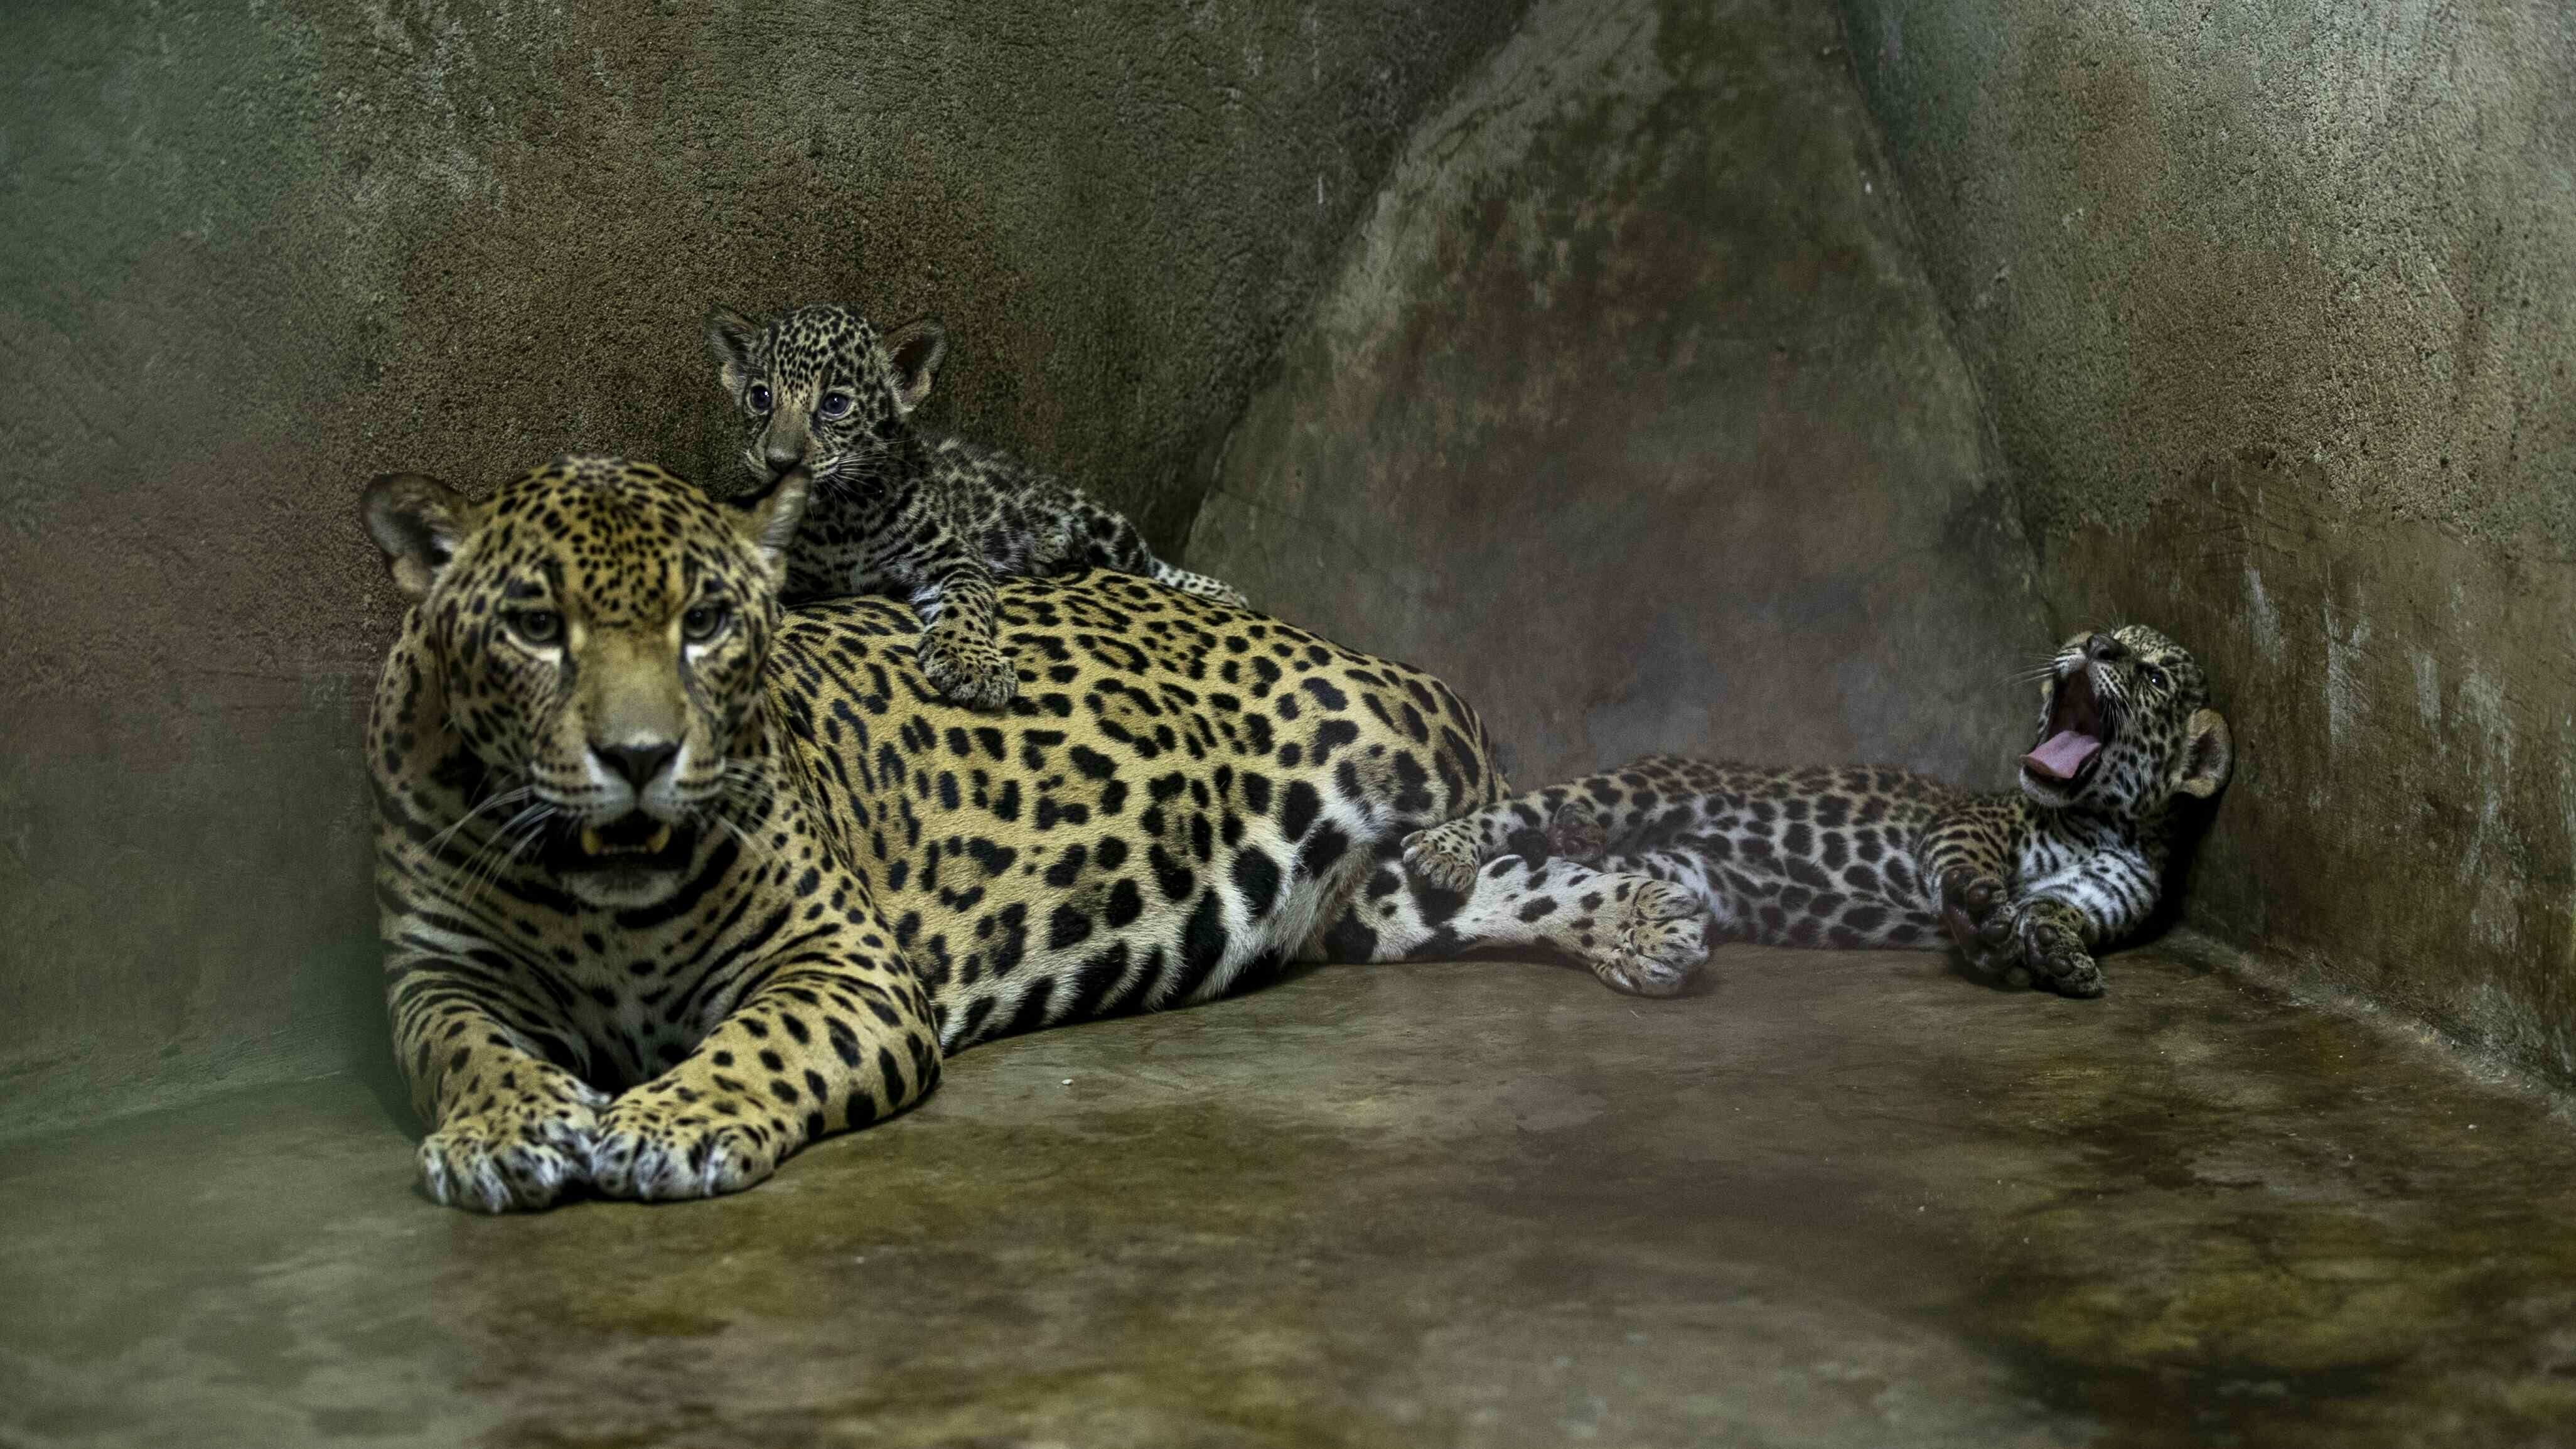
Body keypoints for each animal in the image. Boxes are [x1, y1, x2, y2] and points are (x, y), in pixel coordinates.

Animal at [358, 455, 1707, 1212]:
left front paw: (669, 1121)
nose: (639, 758)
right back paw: (1653, 919)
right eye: (537, 626)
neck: (605, 891)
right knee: (1458, 891)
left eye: (706, 623)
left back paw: (1657, 898)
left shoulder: (840, 961)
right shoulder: (435, 972)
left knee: (1488, 810)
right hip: (1349, 896)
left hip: (1393, 723)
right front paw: (507, 1131)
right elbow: (464, 1049)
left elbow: (759, 1040)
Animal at [705, 302, 1249, 712]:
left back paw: (1221, 591)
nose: (778, 461)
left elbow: (966, 606)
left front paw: (972, 666)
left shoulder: (954, 558)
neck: (841, 518)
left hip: (1108, 528)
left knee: (1151, 562)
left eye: (835, 404)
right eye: (760, 397)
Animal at [1400, 624, 2231, 998]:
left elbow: (2054, 913)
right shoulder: (1972, 824)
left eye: (2152, 673)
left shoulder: (2098, 897)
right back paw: (1444, 851)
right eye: (2096, 636)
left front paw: (2054, 955)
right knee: (1518, 812)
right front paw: (1980, 912)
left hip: (1679, 867)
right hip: (1641, 787)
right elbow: (1967, 868)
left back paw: (1579, 851)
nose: (2094, 646)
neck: (2101, 819)